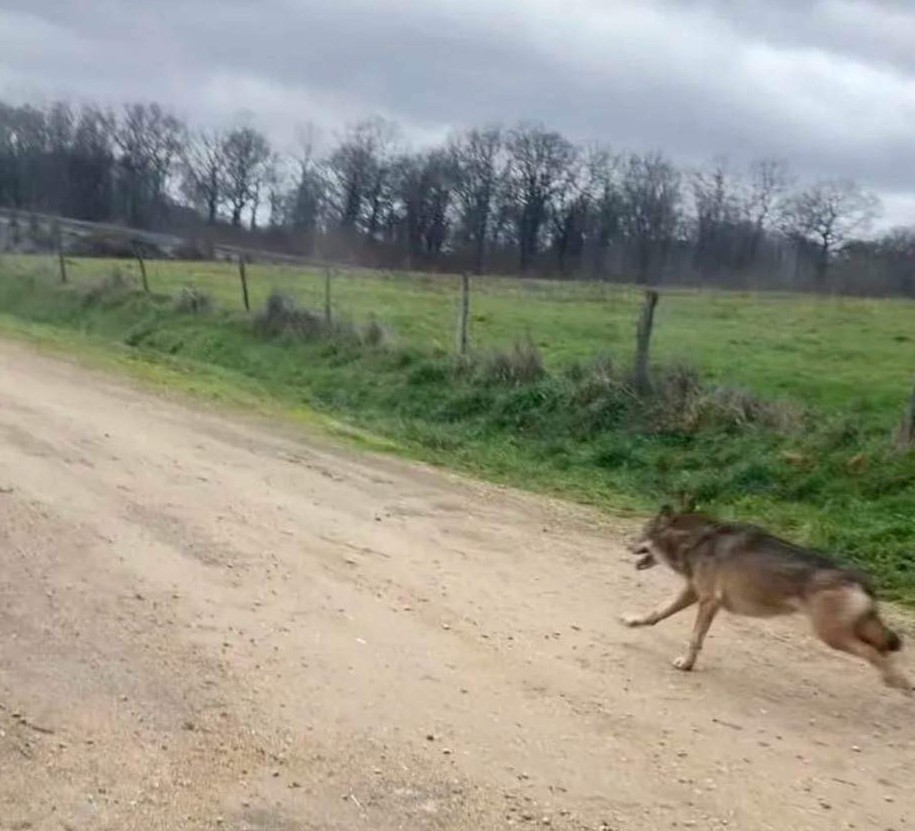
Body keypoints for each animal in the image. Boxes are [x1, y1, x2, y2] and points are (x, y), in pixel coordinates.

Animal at [620, 504, 912, 692]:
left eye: (641, 534)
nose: (627, 544)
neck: (696, 540)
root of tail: (860, 579)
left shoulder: (708, 602)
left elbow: (694, 639)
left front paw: (687, 665)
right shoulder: (692, 593)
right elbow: (656, 612)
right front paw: (633, 621)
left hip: (832, 636)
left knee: (875, 653)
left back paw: (899, 682)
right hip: (843, 632)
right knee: (883, 649)